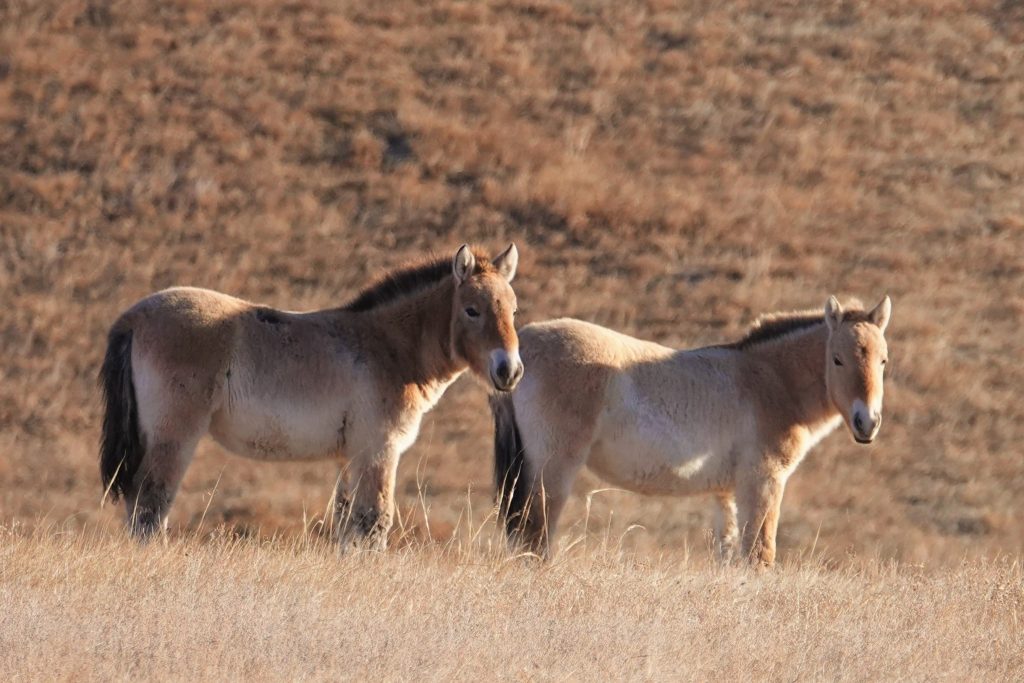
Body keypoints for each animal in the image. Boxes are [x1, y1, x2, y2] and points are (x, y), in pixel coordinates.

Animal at [99, 244, 523, 548]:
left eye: (514, 311)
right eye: (472, 310)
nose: (510, 371)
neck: (389, 347)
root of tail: (133, 317)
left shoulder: (350, 458)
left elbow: (349, 526)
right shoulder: (378, 451)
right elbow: (375, 522)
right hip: (174, 437)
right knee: (151, 505)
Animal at [492, 295, 891, 567]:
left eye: (883, 360)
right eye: (837, 359)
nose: (867, 422)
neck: (770, 380)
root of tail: (521, 349)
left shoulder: (725, 494)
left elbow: (731, 555)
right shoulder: (764, 482)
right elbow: (759, 555)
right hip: (554, 470)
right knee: (535, 536)